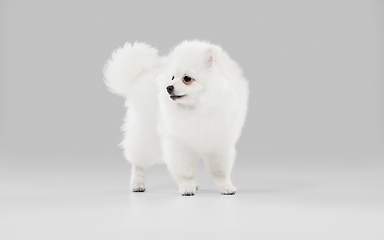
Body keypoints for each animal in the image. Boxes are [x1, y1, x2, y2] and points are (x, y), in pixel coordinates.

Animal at [103, 40, 249, 196]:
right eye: (172, 77)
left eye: (187, 78)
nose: (168, 87)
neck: (197, 107)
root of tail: (139, 75)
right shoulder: (179, 144)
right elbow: (185, 171)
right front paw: (187, 187)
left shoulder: (219, 142)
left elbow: (220, 171)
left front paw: (226, 187)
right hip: (146, 134)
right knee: (138, 162)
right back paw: (137, 184)